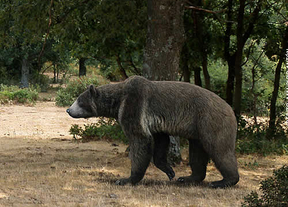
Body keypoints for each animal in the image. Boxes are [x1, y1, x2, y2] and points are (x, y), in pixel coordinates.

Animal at [67, 75, 238, 188]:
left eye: (79, 100)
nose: (68, 109)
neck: (117, 101)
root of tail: (231, 109)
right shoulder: (156, 123)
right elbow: (160, 141)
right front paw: (170, 171)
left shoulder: (134, 105)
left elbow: (140, 139)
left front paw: (126, 179)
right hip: (197, 129)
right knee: (197, 152)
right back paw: (187, 178)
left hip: (210, 120)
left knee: (219, 149)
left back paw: (223, 181)